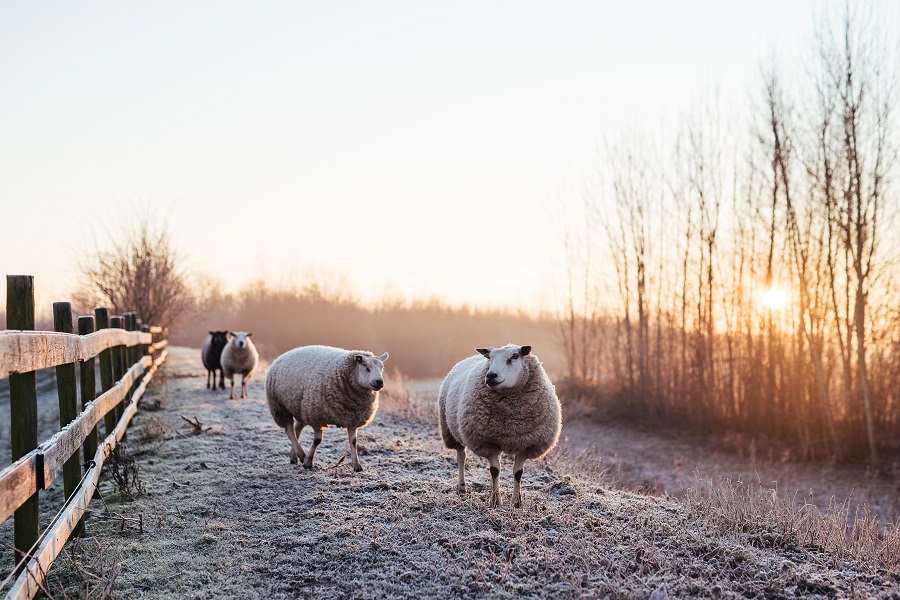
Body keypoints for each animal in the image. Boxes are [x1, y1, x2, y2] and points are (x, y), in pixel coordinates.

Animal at [266, 344, 388, 472]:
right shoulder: (316, 417)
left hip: (301, 408)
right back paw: (301, 454)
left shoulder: (352, 419)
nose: (379, 382)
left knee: (297, 429)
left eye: (382, 368)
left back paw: (294, 456)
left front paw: (357, 465)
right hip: (280, 407)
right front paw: (308, 462)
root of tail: (282, 356)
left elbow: (354, 442)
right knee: (289, 430)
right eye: (366, 367)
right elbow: (317, 441)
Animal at [438, 344, 560, 508]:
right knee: (461, 458)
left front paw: (517, 502)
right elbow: (495, 470)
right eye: (490, 358)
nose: (490, 376)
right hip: (451, 432)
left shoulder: (526, 444)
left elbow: (518, 473)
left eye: (515, 356)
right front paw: (495, 501)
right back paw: (462, 488)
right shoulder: (487, 443)